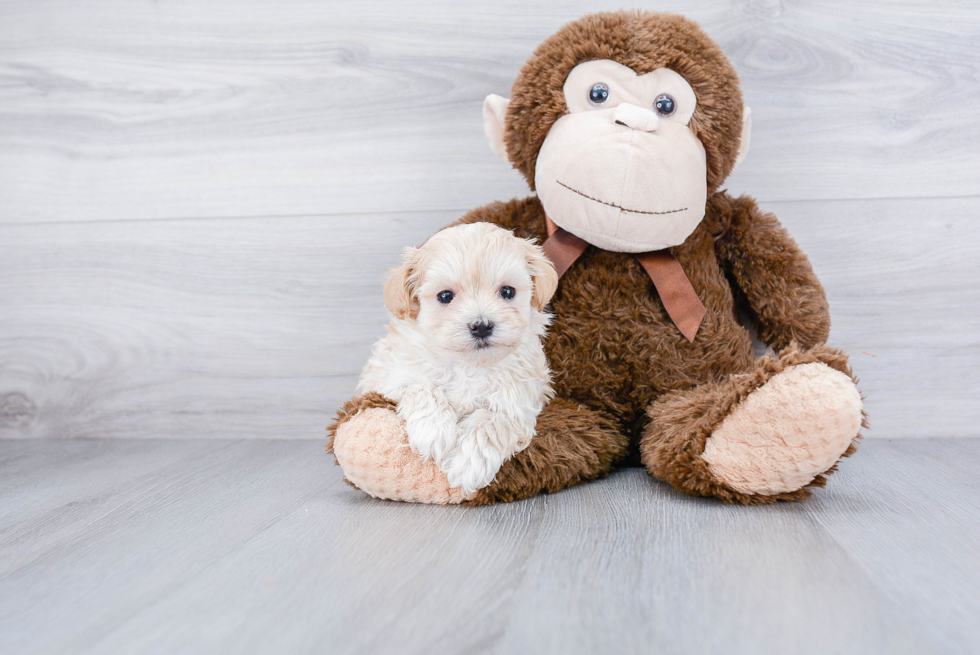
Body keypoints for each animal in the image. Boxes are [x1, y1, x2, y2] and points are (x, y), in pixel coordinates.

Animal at [360, 223, 560, 494]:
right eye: (445, 296)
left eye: (507, 291)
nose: (481, 325)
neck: (469, 365)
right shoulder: (388, 374)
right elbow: (420, 386)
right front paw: (432, 430)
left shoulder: (519, 404)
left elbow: (490, 420)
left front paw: (469, 462)